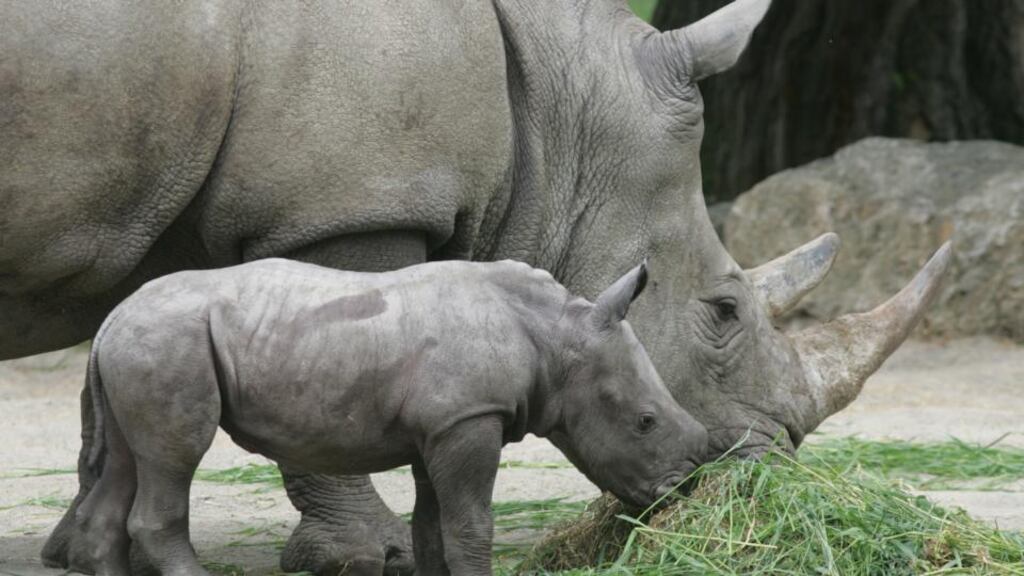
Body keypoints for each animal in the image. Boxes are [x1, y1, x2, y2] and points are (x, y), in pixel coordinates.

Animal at [68, 258, 705, 576]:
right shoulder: (469, 419)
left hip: (145, 343)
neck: (555, 338)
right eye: (645, 422)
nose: (682, 490)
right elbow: (471, 524)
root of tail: (111, 318)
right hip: (168, 343)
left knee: (128, 461)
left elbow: (433, 527)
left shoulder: (441, 425)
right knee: (174, 459)